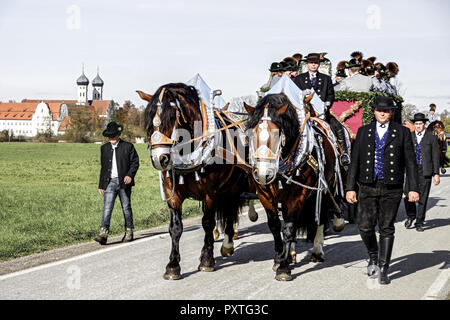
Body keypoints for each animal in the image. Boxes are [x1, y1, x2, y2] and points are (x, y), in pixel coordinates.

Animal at [138, 83, 250, 280]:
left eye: (171, 117)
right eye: (149, 119)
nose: (160, 159)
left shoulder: (210, 194)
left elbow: (207, 223)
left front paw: (207, 260)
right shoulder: (173, 195)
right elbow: (175, 228)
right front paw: (173, 266)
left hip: (232, 187)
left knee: (230, 212)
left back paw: (227, 245)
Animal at [243, 92, 344, 280]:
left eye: (277, 134)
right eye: (251, 135)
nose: (263, 173)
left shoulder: (297, 196)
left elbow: (289, 228)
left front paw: (283, 268)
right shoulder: (265, 194)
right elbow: (276, 226)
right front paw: (279, 258)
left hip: (325, 188)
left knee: (322, 215)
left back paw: (317, 250)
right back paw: (290, 253)